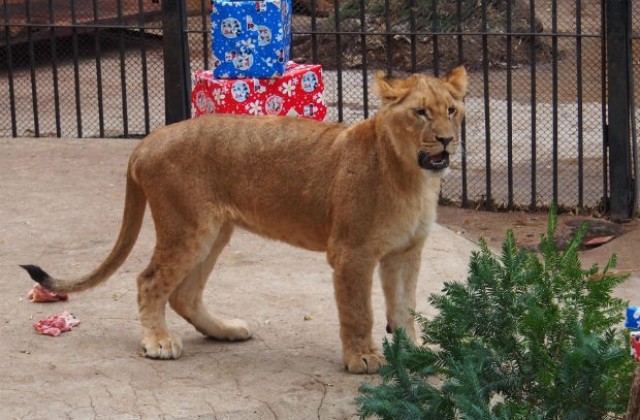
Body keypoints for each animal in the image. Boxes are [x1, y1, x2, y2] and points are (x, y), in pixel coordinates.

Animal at [22, 66, 468, 374]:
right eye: (420, 113)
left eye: (452, 110)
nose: (447, 140)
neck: (412, 178)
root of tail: (149, 139)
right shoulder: (351, 253)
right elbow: (360, 311)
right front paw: (362, 358)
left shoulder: (405, 252)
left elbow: (405, 307)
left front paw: (414, 352)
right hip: (189, 227)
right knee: (149, 281)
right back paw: (158, 342)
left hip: (215, 231)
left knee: (184, 293)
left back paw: (225, 330)